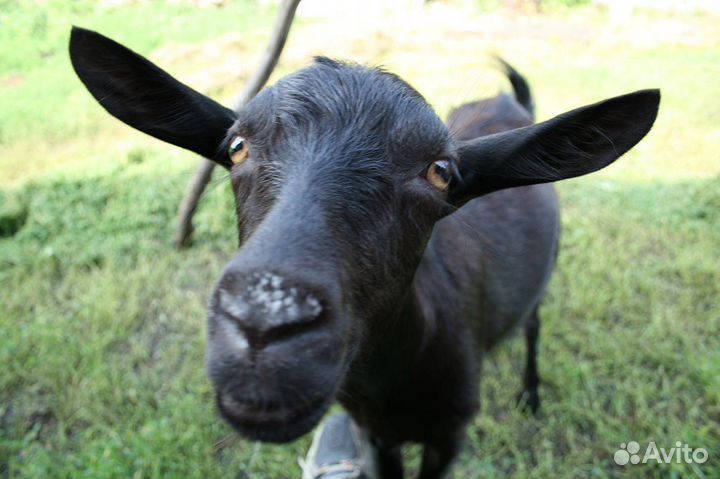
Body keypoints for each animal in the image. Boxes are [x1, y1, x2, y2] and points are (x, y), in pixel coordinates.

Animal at [69, 27, 659, 478]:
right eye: (236, 147)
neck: (389, 379)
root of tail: (506, 99)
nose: (263, 324)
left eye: (441, 172)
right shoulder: (373, 434)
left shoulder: (450, 433)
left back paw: (531, 395)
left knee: (534, 324)